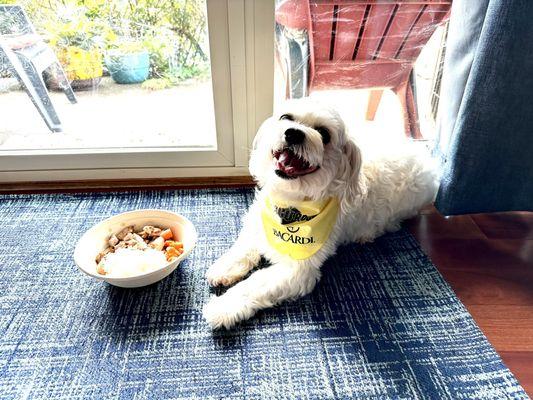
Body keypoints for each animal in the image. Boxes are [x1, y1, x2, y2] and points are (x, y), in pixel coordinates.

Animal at [203, 99, 436, 328]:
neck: (291, 204)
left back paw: (368, 233)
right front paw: (225, 267)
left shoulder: (298, 270)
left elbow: (254, 284)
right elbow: (242, 247)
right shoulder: (258, 222)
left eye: (324, 134)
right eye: (285, 117)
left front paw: (223, 307)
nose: (293, 133)